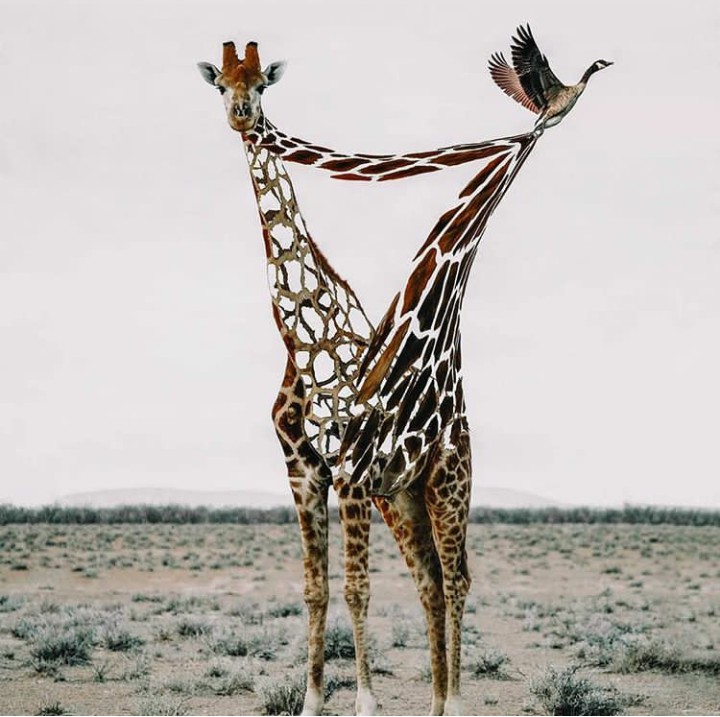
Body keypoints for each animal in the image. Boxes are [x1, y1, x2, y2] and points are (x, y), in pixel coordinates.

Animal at [198, 40, 541, 715]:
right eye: (218, 83)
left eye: (262, 83)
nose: (242, 114)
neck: (302, 343)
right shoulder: (304, 473)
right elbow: (316, 590)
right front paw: (310, 701)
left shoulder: (350, 475)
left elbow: (357, 587)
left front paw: (366, 702)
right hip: (401, 497)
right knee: (429, 578)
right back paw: (434, 703)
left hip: (447, 481)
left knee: (457, 577)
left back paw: (455, 701)